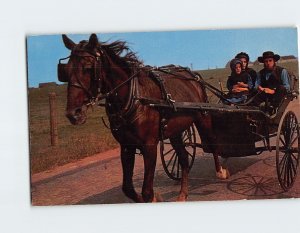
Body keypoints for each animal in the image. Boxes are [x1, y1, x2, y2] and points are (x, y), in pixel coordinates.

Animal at [59, 33, 230, 202]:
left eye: (88, 68)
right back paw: (183, 194)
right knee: (183, 158)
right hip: (175, 131)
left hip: (203, 117)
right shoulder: (126, 146)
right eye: (65, 71)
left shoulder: (149, 146)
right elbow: (128, 188)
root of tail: (193, 76)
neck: (135, 97)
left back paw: (220, 171)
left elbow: (147, 191)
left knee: (213, 143)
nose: (73, 114)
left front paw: (153, 197)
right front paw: (153, 198)